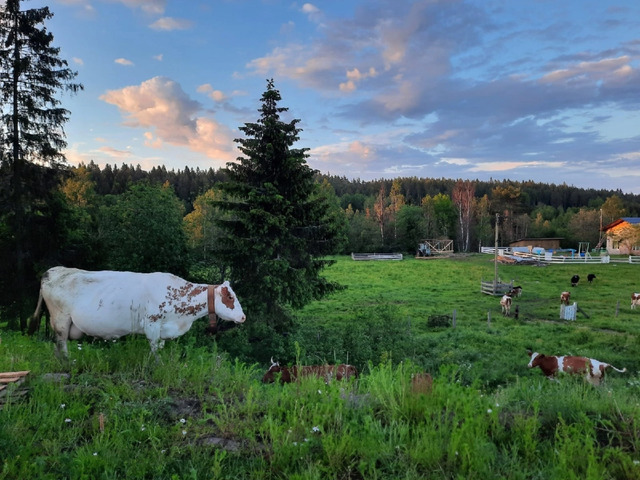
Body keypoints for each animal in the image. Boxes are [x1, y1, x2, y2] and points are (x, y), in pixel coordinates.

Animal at [30, 268, 246, 358]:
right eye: (230, 297)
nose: (243, 317)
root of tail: (52, 271)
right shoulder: (151, 324)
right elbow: (154, 350)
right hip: (60, 319)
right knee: (61, 342)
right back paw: (68, 362)